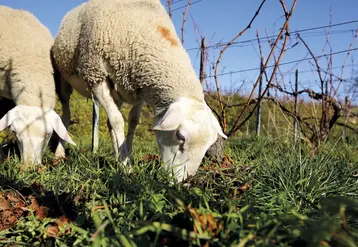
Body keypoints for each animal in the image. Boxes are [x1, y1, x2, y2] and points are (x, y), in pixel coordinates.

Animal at [51, 0, 225, 181]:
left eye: (209, 144)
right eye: (180, 136)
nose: (184, 182)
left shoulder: (139, 87)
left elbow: (133, 121)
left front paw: (125, 157)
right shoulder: (96, 76)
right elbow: (118, 121)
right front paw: (126, 167)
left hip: (117, 92)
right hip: (63, 79)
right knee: (67, 114)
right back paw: (59, 155)